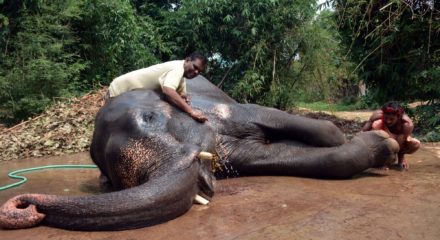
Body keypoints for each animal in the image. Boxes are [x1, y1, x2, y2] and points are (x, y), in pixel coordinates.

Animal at [0, 76, 398, 231]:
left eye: (150, 118)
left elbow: (278, 118)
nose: (23, 205)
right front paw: (383, 145)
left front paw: (385, 142)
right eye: (111, 178)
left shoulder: (220, 109)